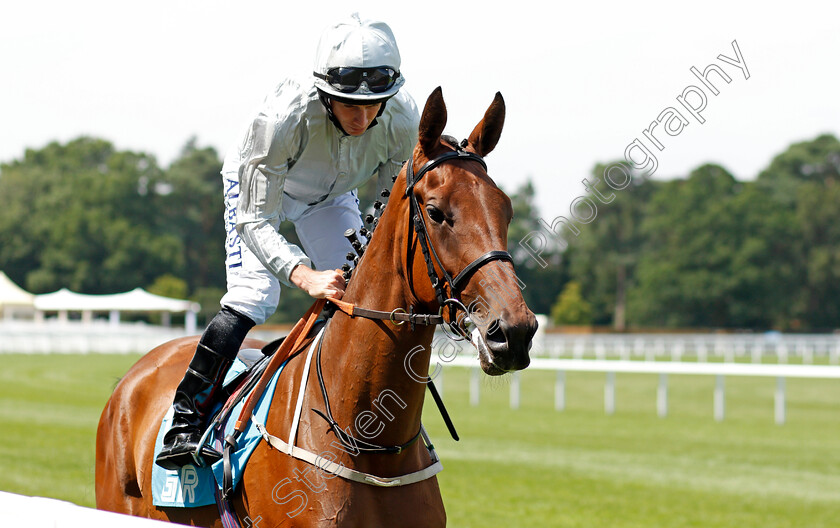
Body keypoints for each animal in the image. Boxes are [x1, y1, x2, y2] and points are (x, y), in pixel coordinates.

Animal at [93, 87, 540, 528]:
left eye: (506, 209)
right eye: (435, 212)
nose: (513, 331)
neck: (371, 443)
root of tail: (135, 374)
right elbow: (254, 221)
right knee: (248, 294)